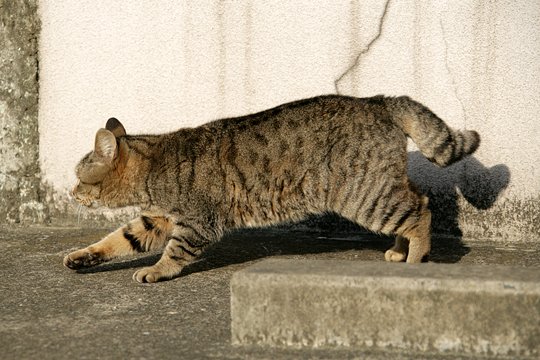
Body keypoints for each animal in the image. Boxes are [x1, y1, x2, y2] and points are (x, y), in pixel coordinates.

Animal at [63, 94, 480, 282]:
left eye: (80, 176)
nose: (71, 192)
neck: (154, 168)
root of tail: (378, 101)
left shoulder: (196, 221)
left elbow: (175, 252)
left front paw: (158, 270)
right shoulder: (155, 220)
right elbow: (116, 240)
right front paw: (82, 256)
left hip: (365, 195)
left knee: (420, 211)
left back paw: (415, 259)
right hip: (380, 187)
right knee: (416, 198)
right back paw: (399, 249)